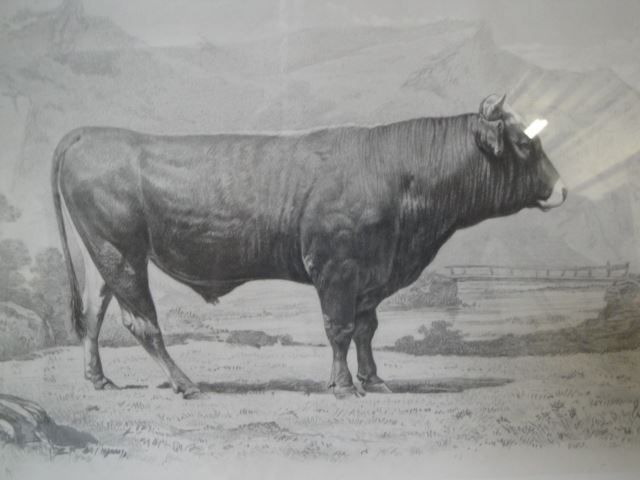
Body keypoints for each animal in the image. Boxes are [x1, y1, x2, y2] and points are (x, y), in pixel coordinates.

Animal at [51, 94, 566, 399]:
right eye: (524, 144)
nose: (562, 189)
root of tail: (89, 132)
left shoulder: (371, 272)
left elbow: (366, 328)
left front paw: (375, 380)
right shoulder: (336, 267)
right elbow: (339, 329)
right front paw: (343, 386)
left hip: (104, 257)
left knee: (93, 318)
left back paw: (99, 380)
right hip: (120, 253)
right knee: (142, 323)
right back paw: (185, 384)